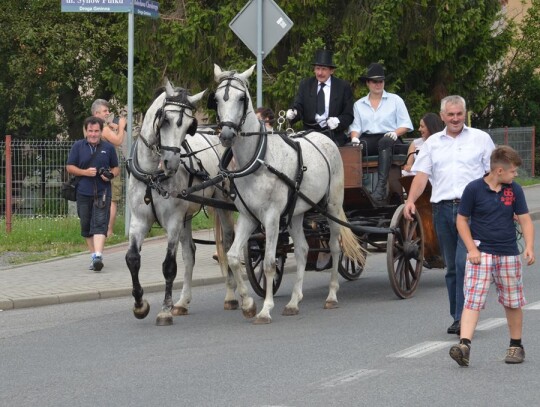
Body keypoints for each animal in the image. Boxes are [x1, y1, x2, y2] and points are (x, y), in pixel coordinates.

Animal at [127, 81, 237, 326]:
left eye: (189, 126)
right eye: (165, 120)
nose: (172, 162)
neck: (153, 174)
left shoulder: (173, 221)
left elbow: (169, 266)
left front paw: (164, 311)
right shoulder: (139, 220)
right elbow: (132, 259)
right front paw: (140, 305)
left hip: (221, 203)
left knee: (227, 244)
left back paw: (231, 296)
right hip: (186, 217)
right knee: (190, 253)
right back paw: (182, 302)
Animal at [211, 63, 368, 326]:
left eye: (242, 98)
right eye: (216, 99)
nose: (226, 136)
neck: (259, 158)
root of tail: (323, 136)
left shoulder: (272, 217)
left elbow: (268, 263)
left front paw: (265, 310)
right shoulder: (248, 217)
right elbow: (233, 257)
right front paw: (248, 304)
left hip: (333, 206)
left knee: (335, 247)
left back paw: (332, 296)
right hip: (296, 213)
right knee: (303, 249)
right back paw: (294, 302)